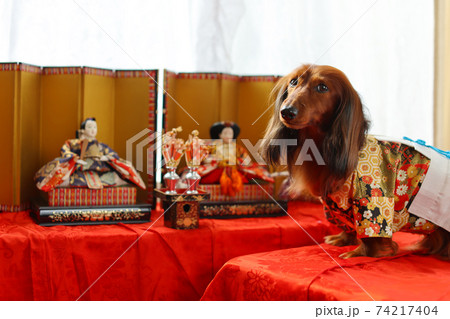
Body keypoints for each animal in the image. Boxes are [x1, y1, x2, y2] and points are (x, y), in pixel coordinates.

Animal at [262, 63, 448, 258]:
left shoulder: (372, 198)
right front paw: (343, 239)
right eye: (293, 81)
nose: (287, 111)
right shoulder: (334, 205)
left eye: (322, 87)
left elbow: (371, 231)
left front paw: (361, 253)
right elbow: (347, 223)